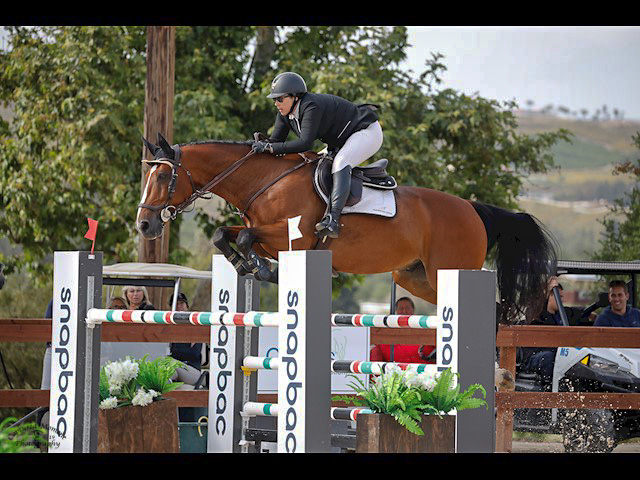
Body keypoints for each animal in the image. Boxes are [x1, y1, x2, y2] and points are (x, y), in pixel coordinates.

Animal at [138, 133, 556, 324]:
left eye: (162, 178)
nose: (144, 225)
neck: (266, 181)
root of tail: (472, 209)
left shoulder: (294, 236)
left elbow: (243, 235)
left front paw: (261, 268)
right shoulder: (268, 233)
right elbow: (224, 234)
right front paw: (249, 266)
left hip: (449, 270)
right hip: (416, 277)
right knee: (494, 308)